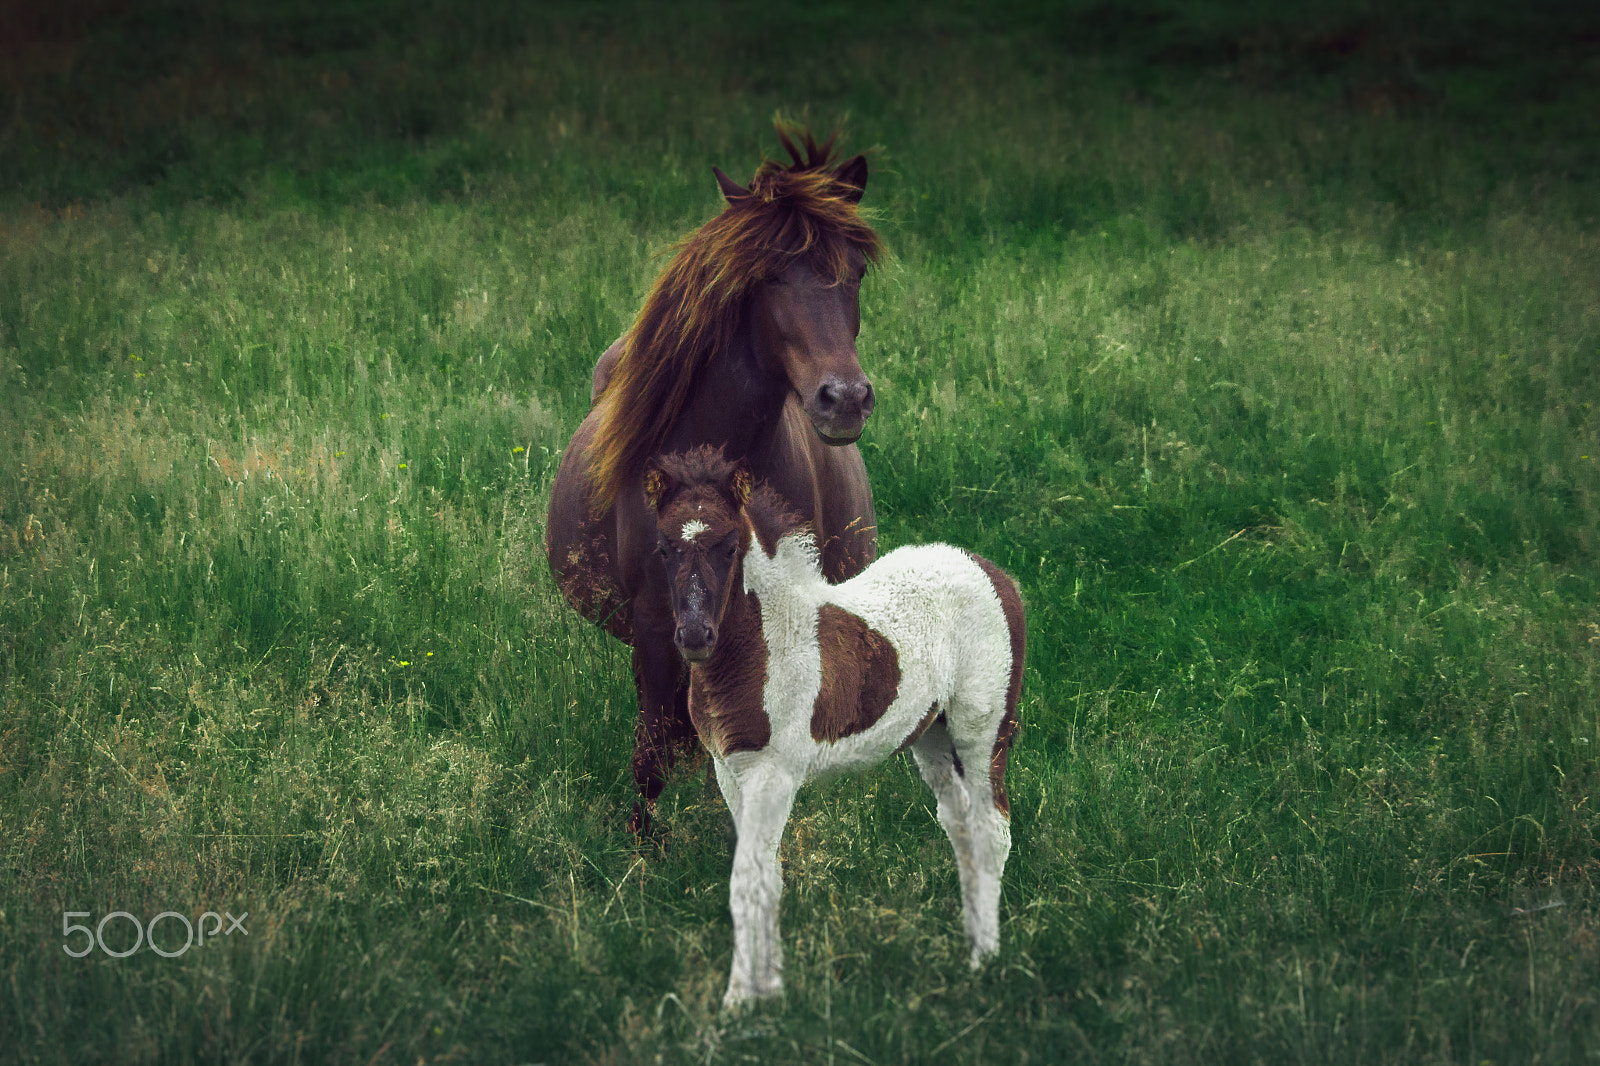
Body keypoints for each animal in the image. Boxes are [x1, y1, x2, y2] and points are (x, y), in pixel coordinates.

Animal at [640, 441, 1024, 1005]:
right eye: (664, 548)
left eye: (729, 547)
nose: (693, 635)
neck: (761, 647)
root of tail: (993, 572)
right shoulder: (729, 772)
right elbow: (769, 876)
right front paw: (770, 990)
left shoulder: (773, 774)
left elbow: (747, 881)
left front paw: (738, 1002)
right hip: (932, 738)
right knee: (960, 829)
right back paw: (969, 948)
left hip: (982, 729)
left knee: (991, 829)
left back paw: (985, 960)